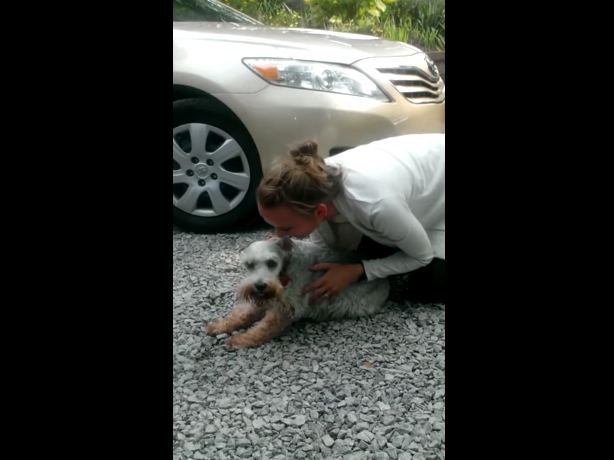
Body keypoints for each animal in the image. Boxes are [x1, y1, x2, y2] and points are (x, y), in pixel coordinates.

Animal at [207, 237, 390, 348]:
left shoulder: (285, 308)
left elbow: (263, 329)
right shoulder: (262, 301)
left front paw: (240, 339)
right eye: (249, 264)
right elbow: (239, 314)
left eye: (272, 262)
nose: (260, 286)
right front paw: (219, 326)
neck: (285, 270)